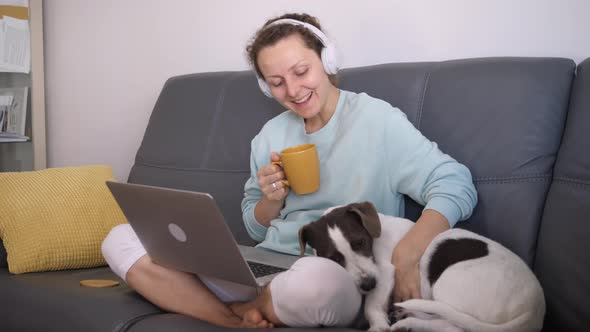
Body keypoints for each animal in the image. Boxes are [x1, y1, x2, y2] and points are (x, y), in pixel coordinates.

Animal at [298, 202, 548, 332]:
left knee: (453, 325)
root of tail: (533, 309)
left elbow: (371, 305)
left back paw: (409, 320)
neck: (375, 236)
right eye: (335, 258)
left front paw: (377, 324)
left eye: (359, 242)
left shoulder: (386, 272)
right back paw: (407, 315)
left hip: (448, 282)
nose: (367, 285)